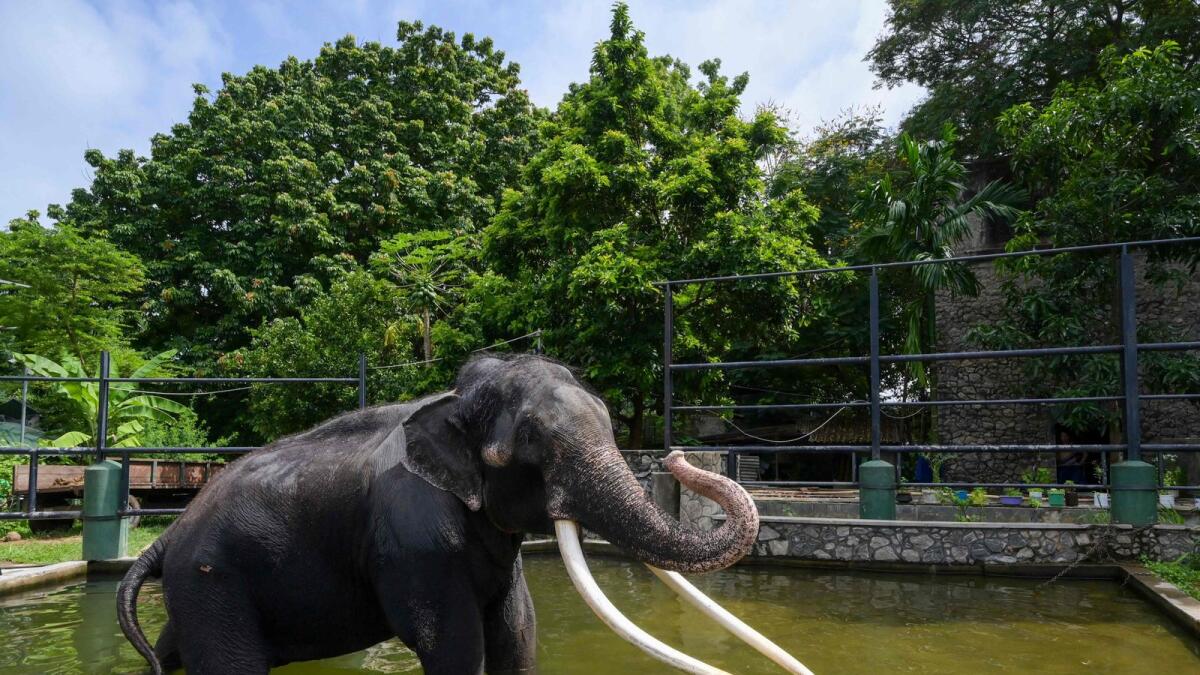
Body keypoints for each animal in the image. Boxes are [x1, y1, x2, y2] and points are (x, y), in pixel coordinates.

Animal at [119, 353, 768, 672]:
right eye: (529, 442)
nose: (677, 455)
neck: (450, 403)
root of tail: (169, 534)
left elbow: (517, 636)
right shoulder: (414, 538)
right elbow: (452, 645)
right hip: (213, 581)